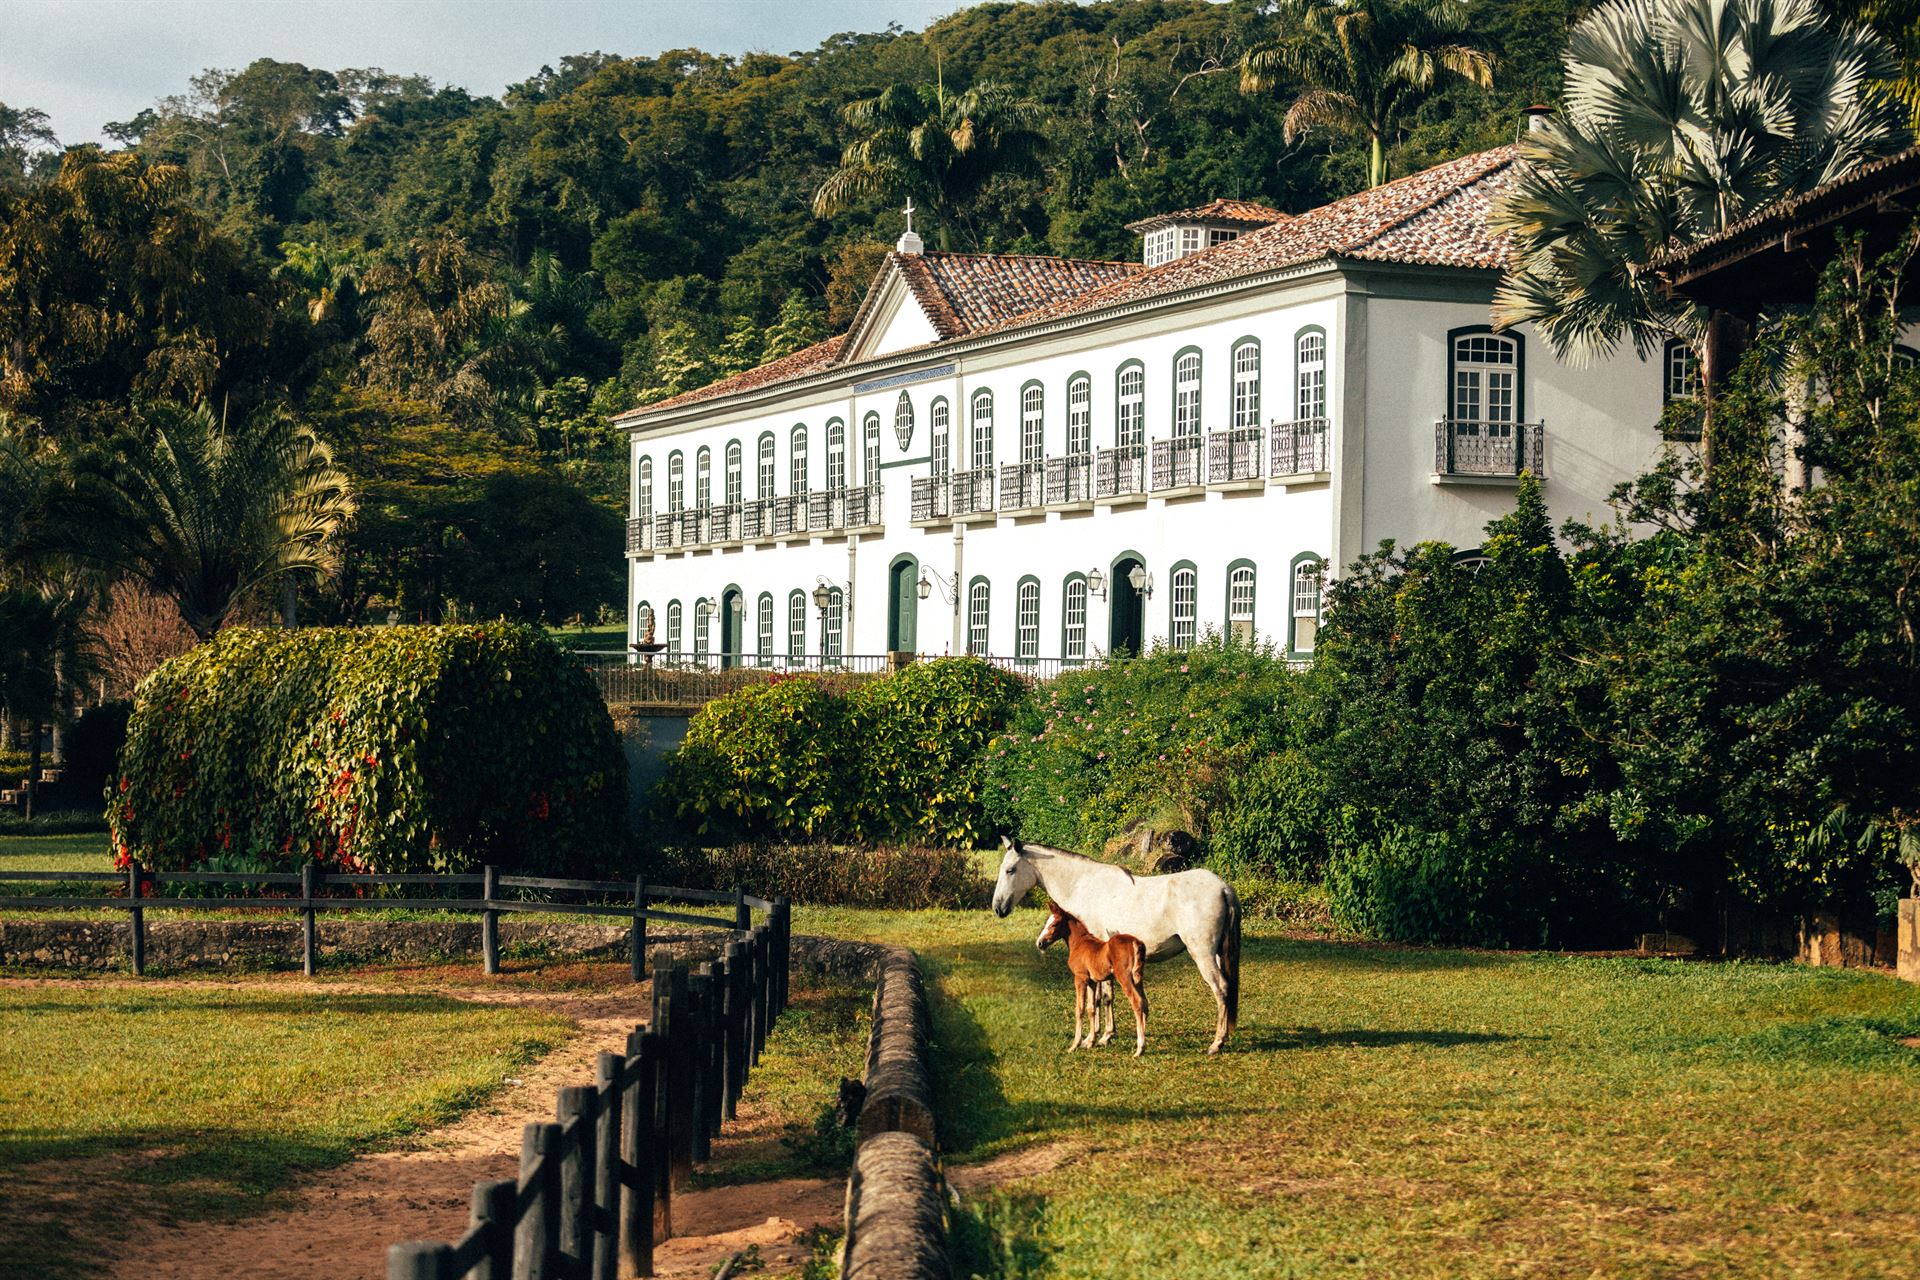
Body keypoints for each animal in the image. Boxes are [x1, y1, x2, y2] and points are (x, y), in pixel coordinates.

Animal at [1044, 898, 1144, 1059]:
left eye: (1053, 924)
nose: (1040, 943)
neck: (1079, 943)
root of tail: (1136, 943)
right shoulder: (1092, 981)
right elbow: (1091, 1008)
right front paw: (1090, 1042)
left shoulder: (1080, 978)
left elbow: (1079, 1009)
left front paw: (1074, 1045)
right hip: (1138, 978)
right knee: (1145, 1003)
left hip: (1125, 978)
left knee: (1137, 1002)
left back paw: (1140, 1048)